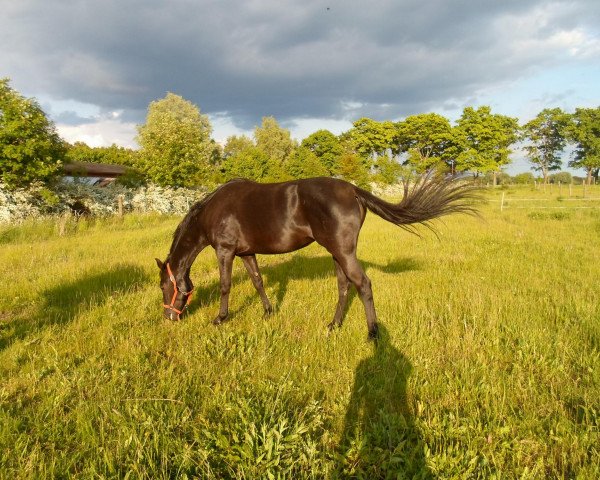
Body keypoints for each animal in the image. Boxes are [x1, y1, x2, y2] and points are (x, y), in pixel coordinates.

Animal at [156, 174, 478, 340]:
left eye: (163, 286)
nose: (168, 317)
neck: (212, 210)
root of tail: (352, 190)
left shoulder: (225, 251)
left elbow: (225, 286)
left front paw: (220, 318)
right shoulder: (247, 252)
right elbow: (258, 282)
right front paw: (268, 312)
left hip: (343, 252)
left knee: (363, 285)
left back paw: (373, 333)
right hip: (337, 253)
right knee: (344, 287)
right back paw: (334, 325)